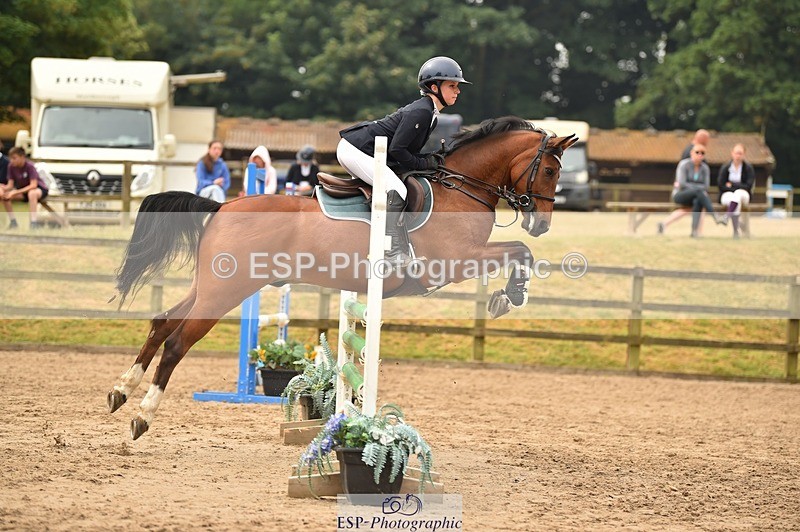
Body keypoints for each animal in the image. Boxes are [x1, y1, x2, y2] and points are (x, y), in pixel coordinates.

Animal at [108, 116, 578, 439]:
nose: (542, 224)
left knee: (162, 321)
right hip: (226, 291)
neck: (461, 187)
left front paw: (509, 293)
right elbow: (519, 252)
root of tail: (223, 206)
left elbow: (520, 251)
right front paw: (511, 294)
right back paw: (142, 415)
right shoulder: (457, 260)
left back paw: (120, 391)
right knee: (176, 341)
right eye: (550, 171)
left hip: (209, 287)